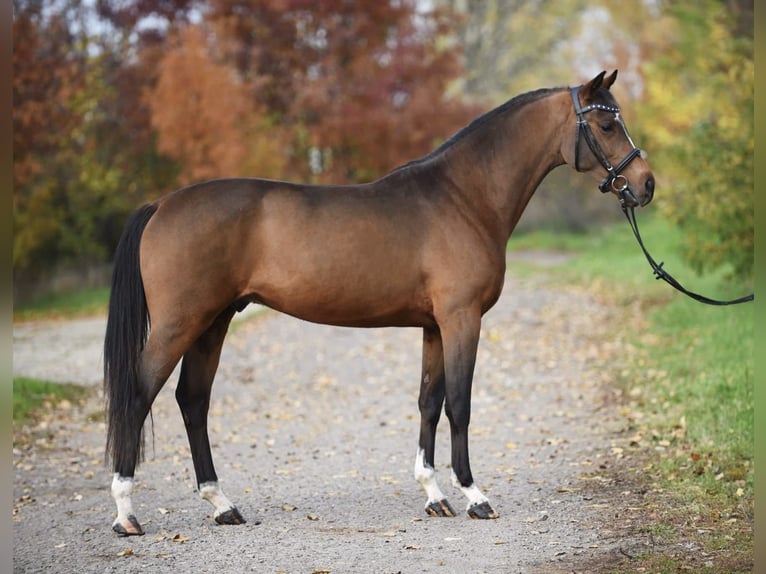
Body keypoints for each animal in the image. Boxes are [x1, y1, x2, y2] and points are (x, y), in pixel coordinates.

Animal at [103, 70, 656, 536]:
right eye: (607, 124)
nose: (646, 185)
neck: (462, 197)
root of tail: (162, 204)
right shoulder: (461, 319)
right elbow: (459, 404)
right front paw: (474, 496)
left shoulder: (434, 326)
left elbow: (429, 402)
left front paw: (434, 496)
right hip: (180, 323)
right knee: (139, 395)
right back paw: (126, 514)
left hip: (214, 321)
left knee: (193, 400)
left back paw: (222, 506)